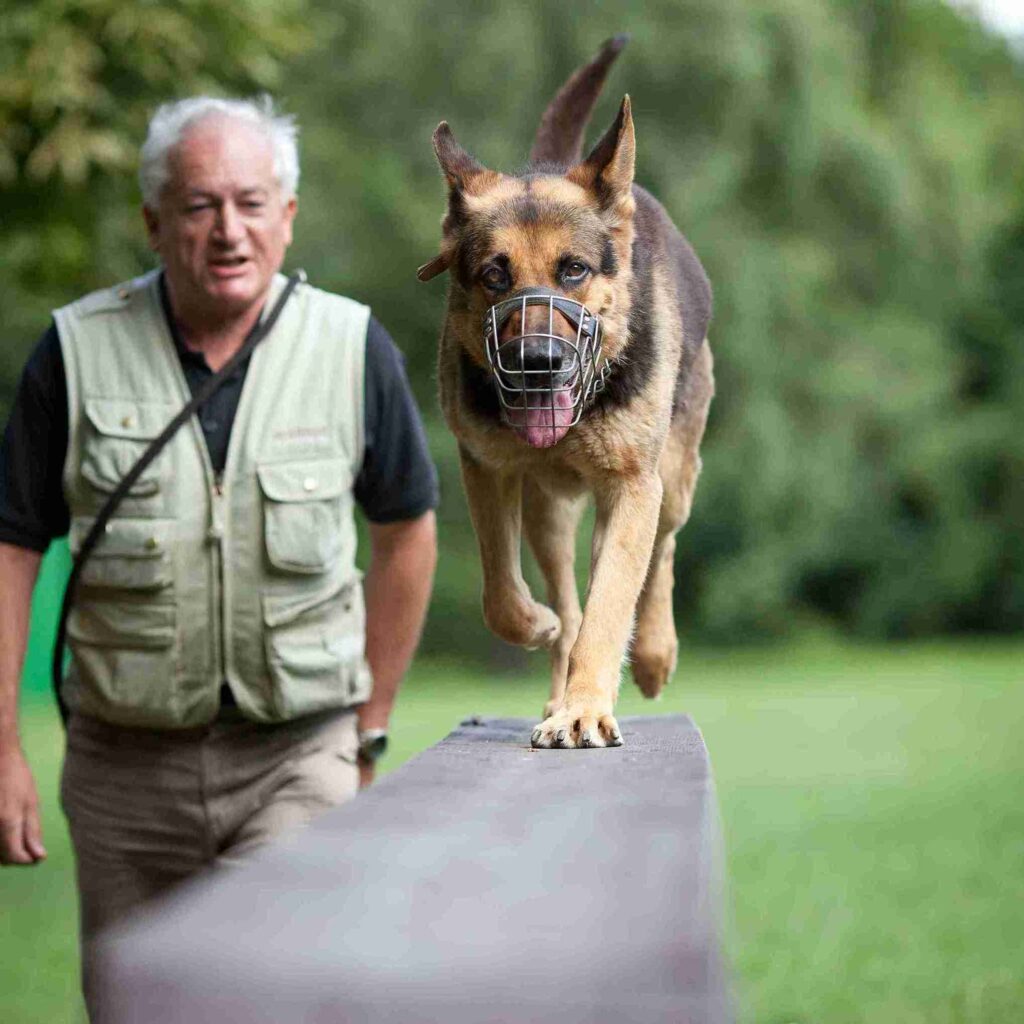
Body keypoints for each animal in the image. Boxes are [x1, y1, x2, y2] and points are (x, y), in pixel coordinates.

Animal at [415, 37, 712, 753]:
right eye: (495, 275)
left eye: (573, 270)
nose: (538, 364)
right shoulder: (487, 469)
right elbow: (504, 596)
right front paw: (543, 633)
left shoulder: (632, 487)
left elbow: (612, 606)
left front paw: (584, 710)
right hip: (549, 513)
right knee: (569, 597)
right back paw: (557, 668)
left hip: (670, 483)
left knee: (660, 555)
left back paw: (652, 654)